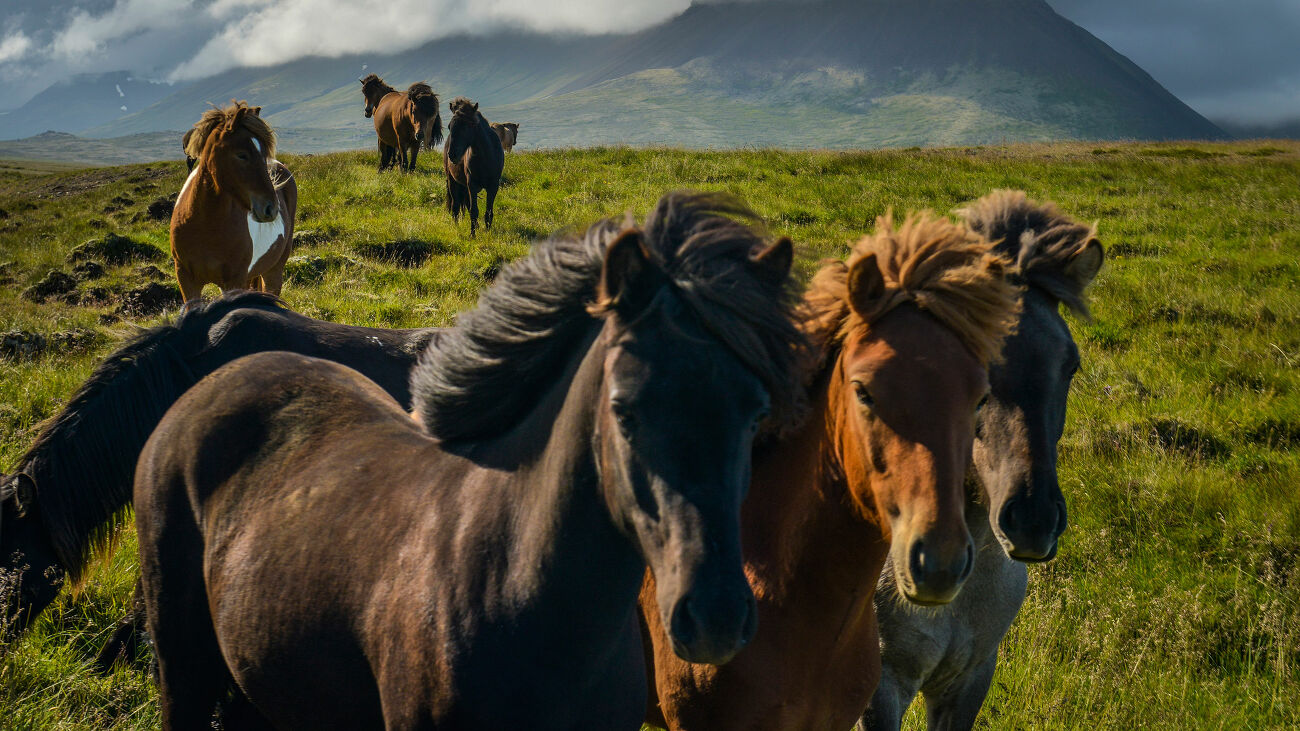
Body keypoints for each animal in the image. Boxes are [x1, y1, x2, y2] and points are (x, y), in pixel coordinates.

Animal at [170, 99, 295, 301]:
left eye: (264, 155)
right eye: (242, 155)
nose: (271, 209)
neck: (205, 225)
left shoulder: (234, 280)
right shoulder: (186, 279)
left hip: (273, 270)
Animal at [447, 96, 506, 236]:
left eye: (469, 125)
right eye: (449, 127)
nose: (452, 155)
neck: (485, 157)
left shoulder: (493, 186)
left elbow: (488, 212)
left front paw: (488, 232)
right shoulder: (472, 184)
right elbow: (474, 211)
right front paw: (472, 235)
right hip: (453, 181)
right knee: (455, 206)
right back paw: (457, 227)